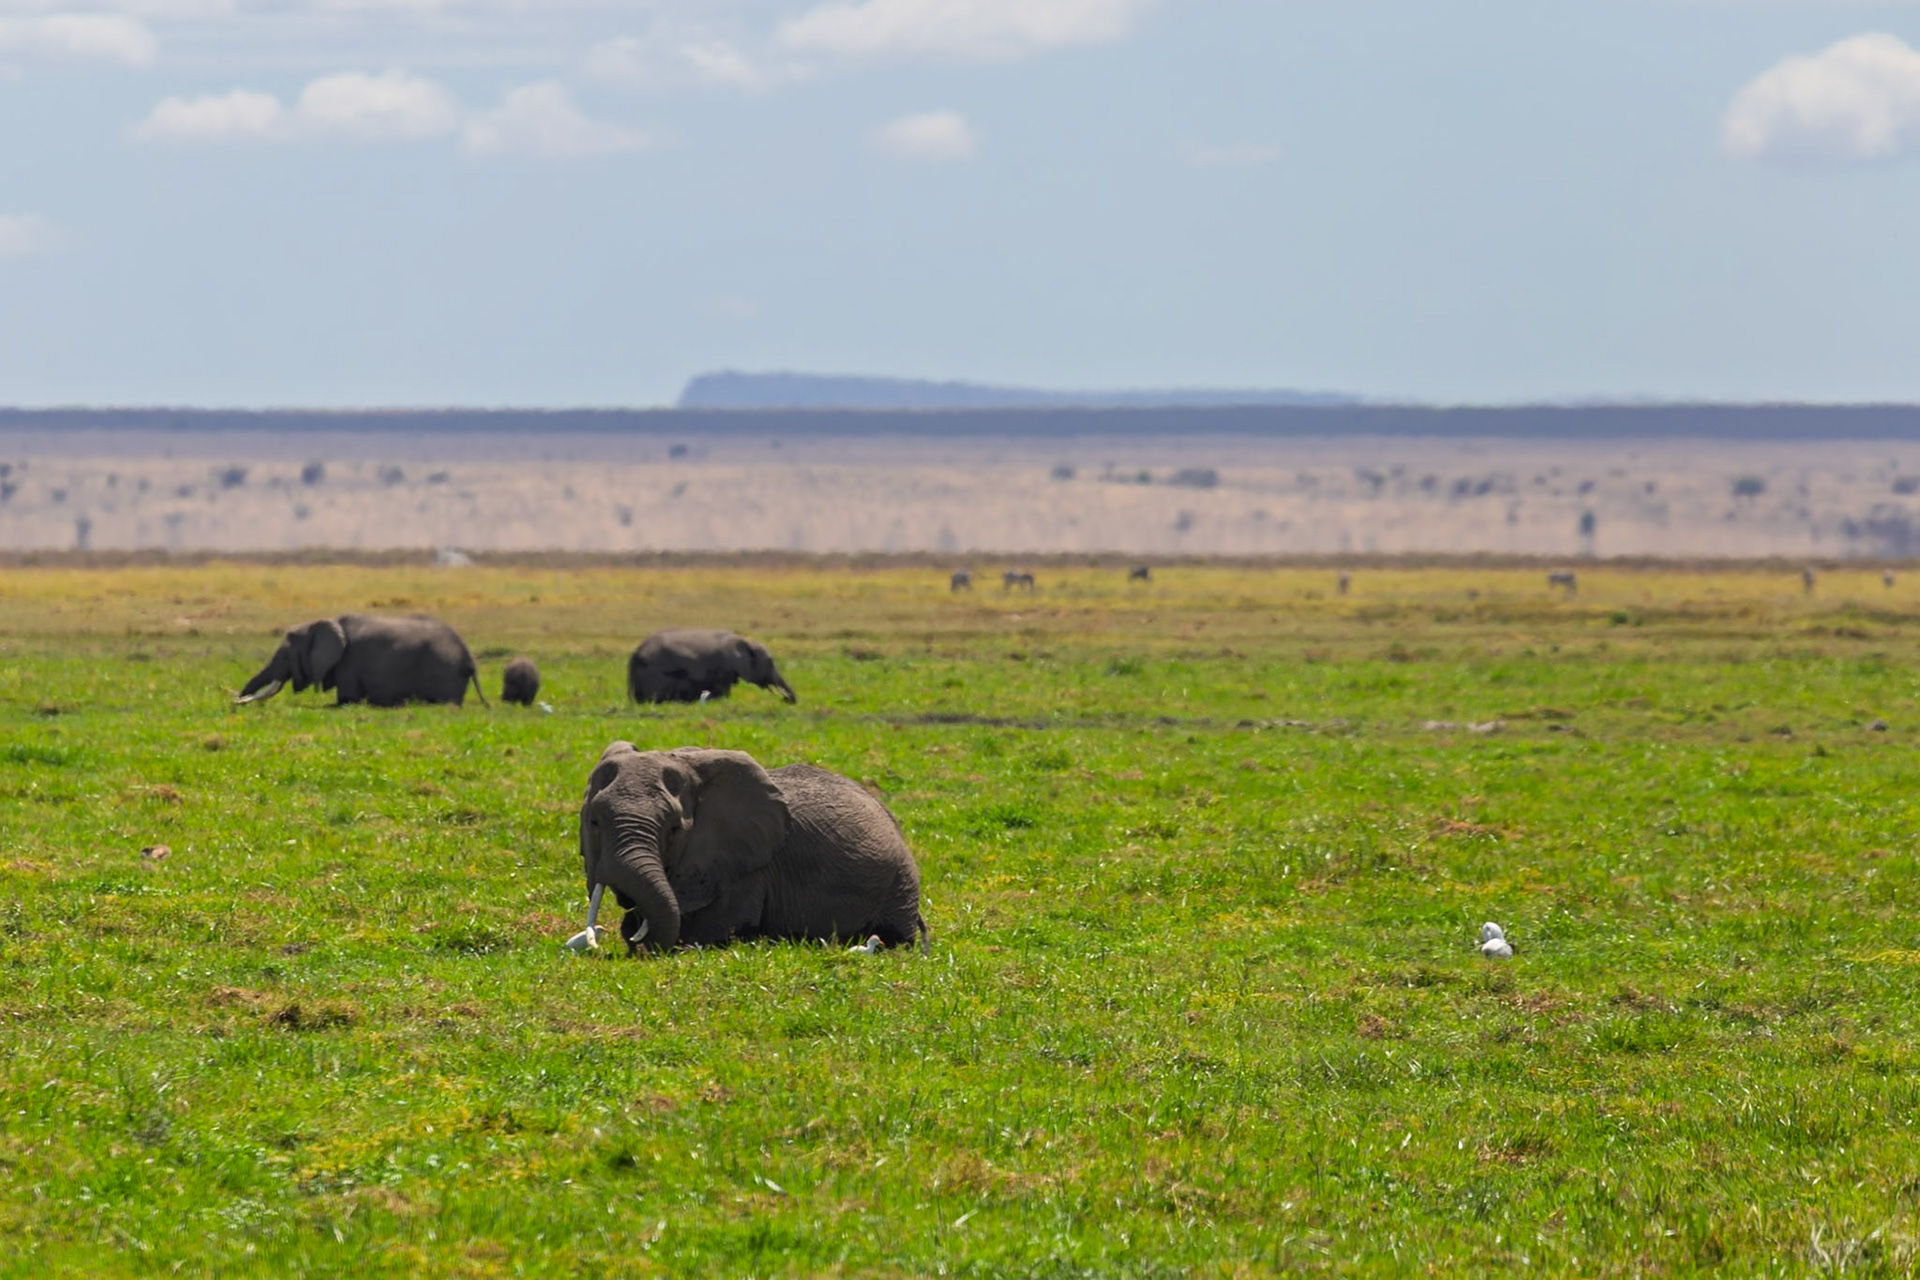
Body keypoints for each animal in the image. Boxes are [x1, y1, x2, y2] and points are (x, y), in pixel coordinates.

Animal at [235, 614, 484, 707]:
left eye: (286, 654)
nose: (233, 705)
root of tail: (469, 658)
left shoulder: (349, 664)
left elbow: (345, 701)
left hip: (443, 672)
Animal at [627, 629, 795, 705]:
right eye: (770, 662)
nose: (786, 700)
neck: (743, 640)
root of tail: (635, 653)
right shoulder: (723, 667)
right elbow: (722, 691)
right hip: (652, 672)